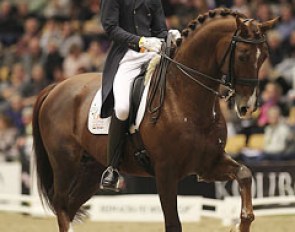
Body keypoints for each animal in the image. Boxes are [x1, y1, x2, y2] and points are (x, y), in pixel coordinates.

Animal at [33, 8, 278, 232]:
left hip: (91, 169)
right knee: (62, 205)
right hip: (65, 163)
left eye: (265, 56)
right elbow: (173, 224)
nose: (248, 107)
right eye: (243, 55)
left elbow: (245, 174)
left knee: (70, 206)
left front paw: (241, 224)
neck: (183, 97)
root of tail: (57, 86)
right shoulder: (165, 172)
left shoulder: (208, 164)